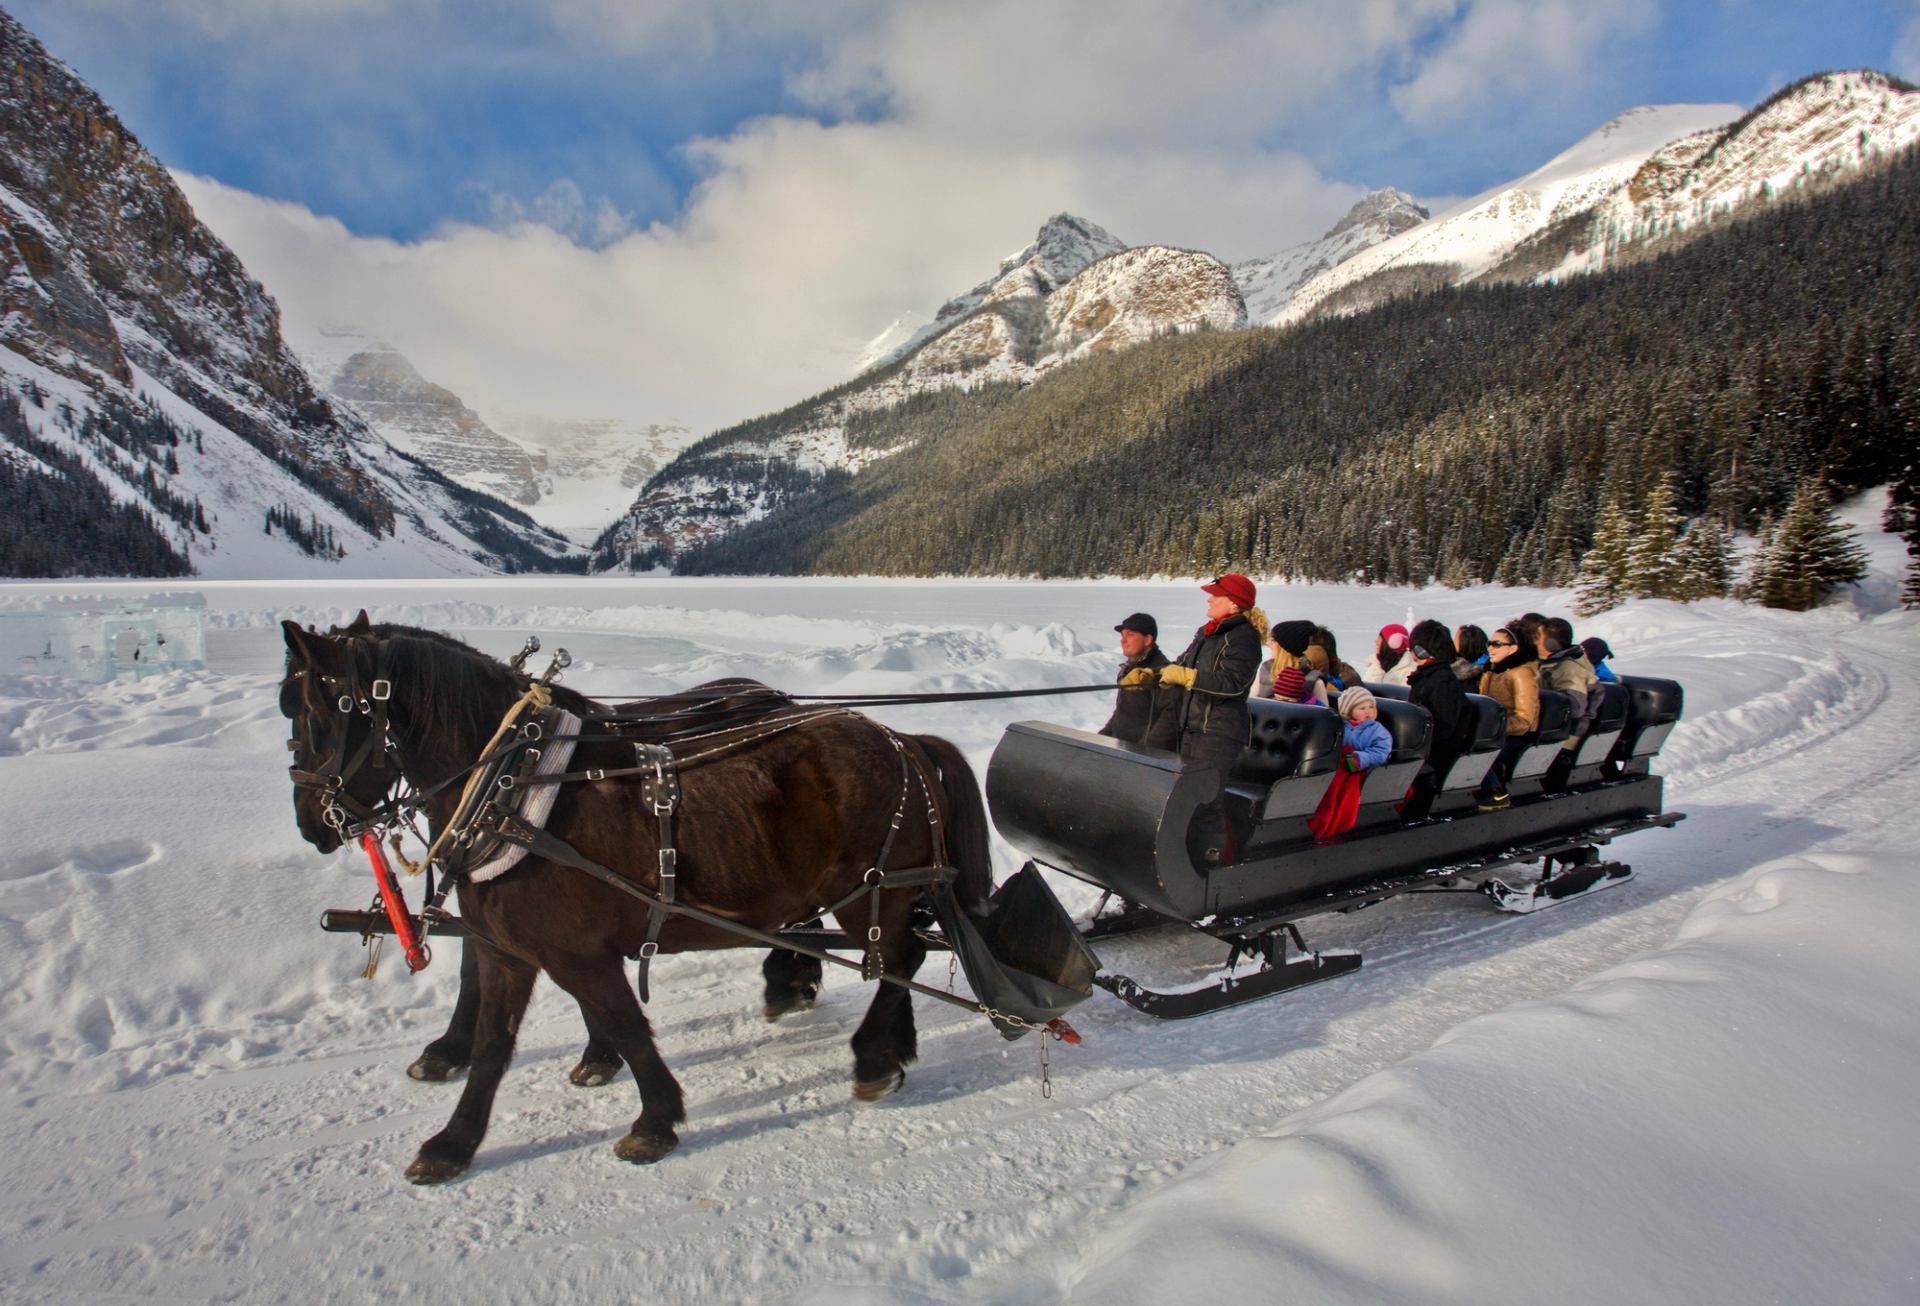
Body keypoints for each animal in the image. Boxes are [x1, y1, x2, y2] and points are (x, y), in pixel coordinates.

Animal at [284, 614, 990, 1183]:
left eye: (316, 716)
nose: (311, 824)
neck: (512, 783)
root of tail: (902, 740)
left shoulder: (575, 952)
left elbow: (625, 1023)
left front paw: (653, 1118)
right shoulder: (511, 950)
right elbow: (493, 1042)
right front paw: (453, 1141)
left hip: (871, 892)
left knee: (900, 960)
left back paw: (870, 1053)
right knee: (887, 958)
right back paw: (866, 1031)